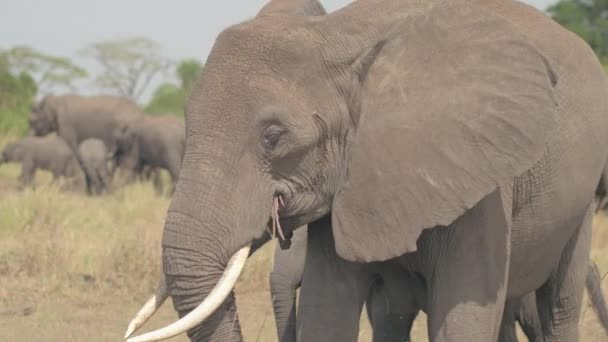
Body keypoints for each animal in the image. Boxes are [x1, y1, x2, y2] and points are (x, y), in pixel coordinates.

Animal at [123, 0, 608, 342]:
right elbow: (327, 312)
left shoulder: (481, 181)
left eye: (273, 137)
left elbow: (462, 321)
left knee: (559, 308)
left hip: (580, 201)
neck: (338, 35)